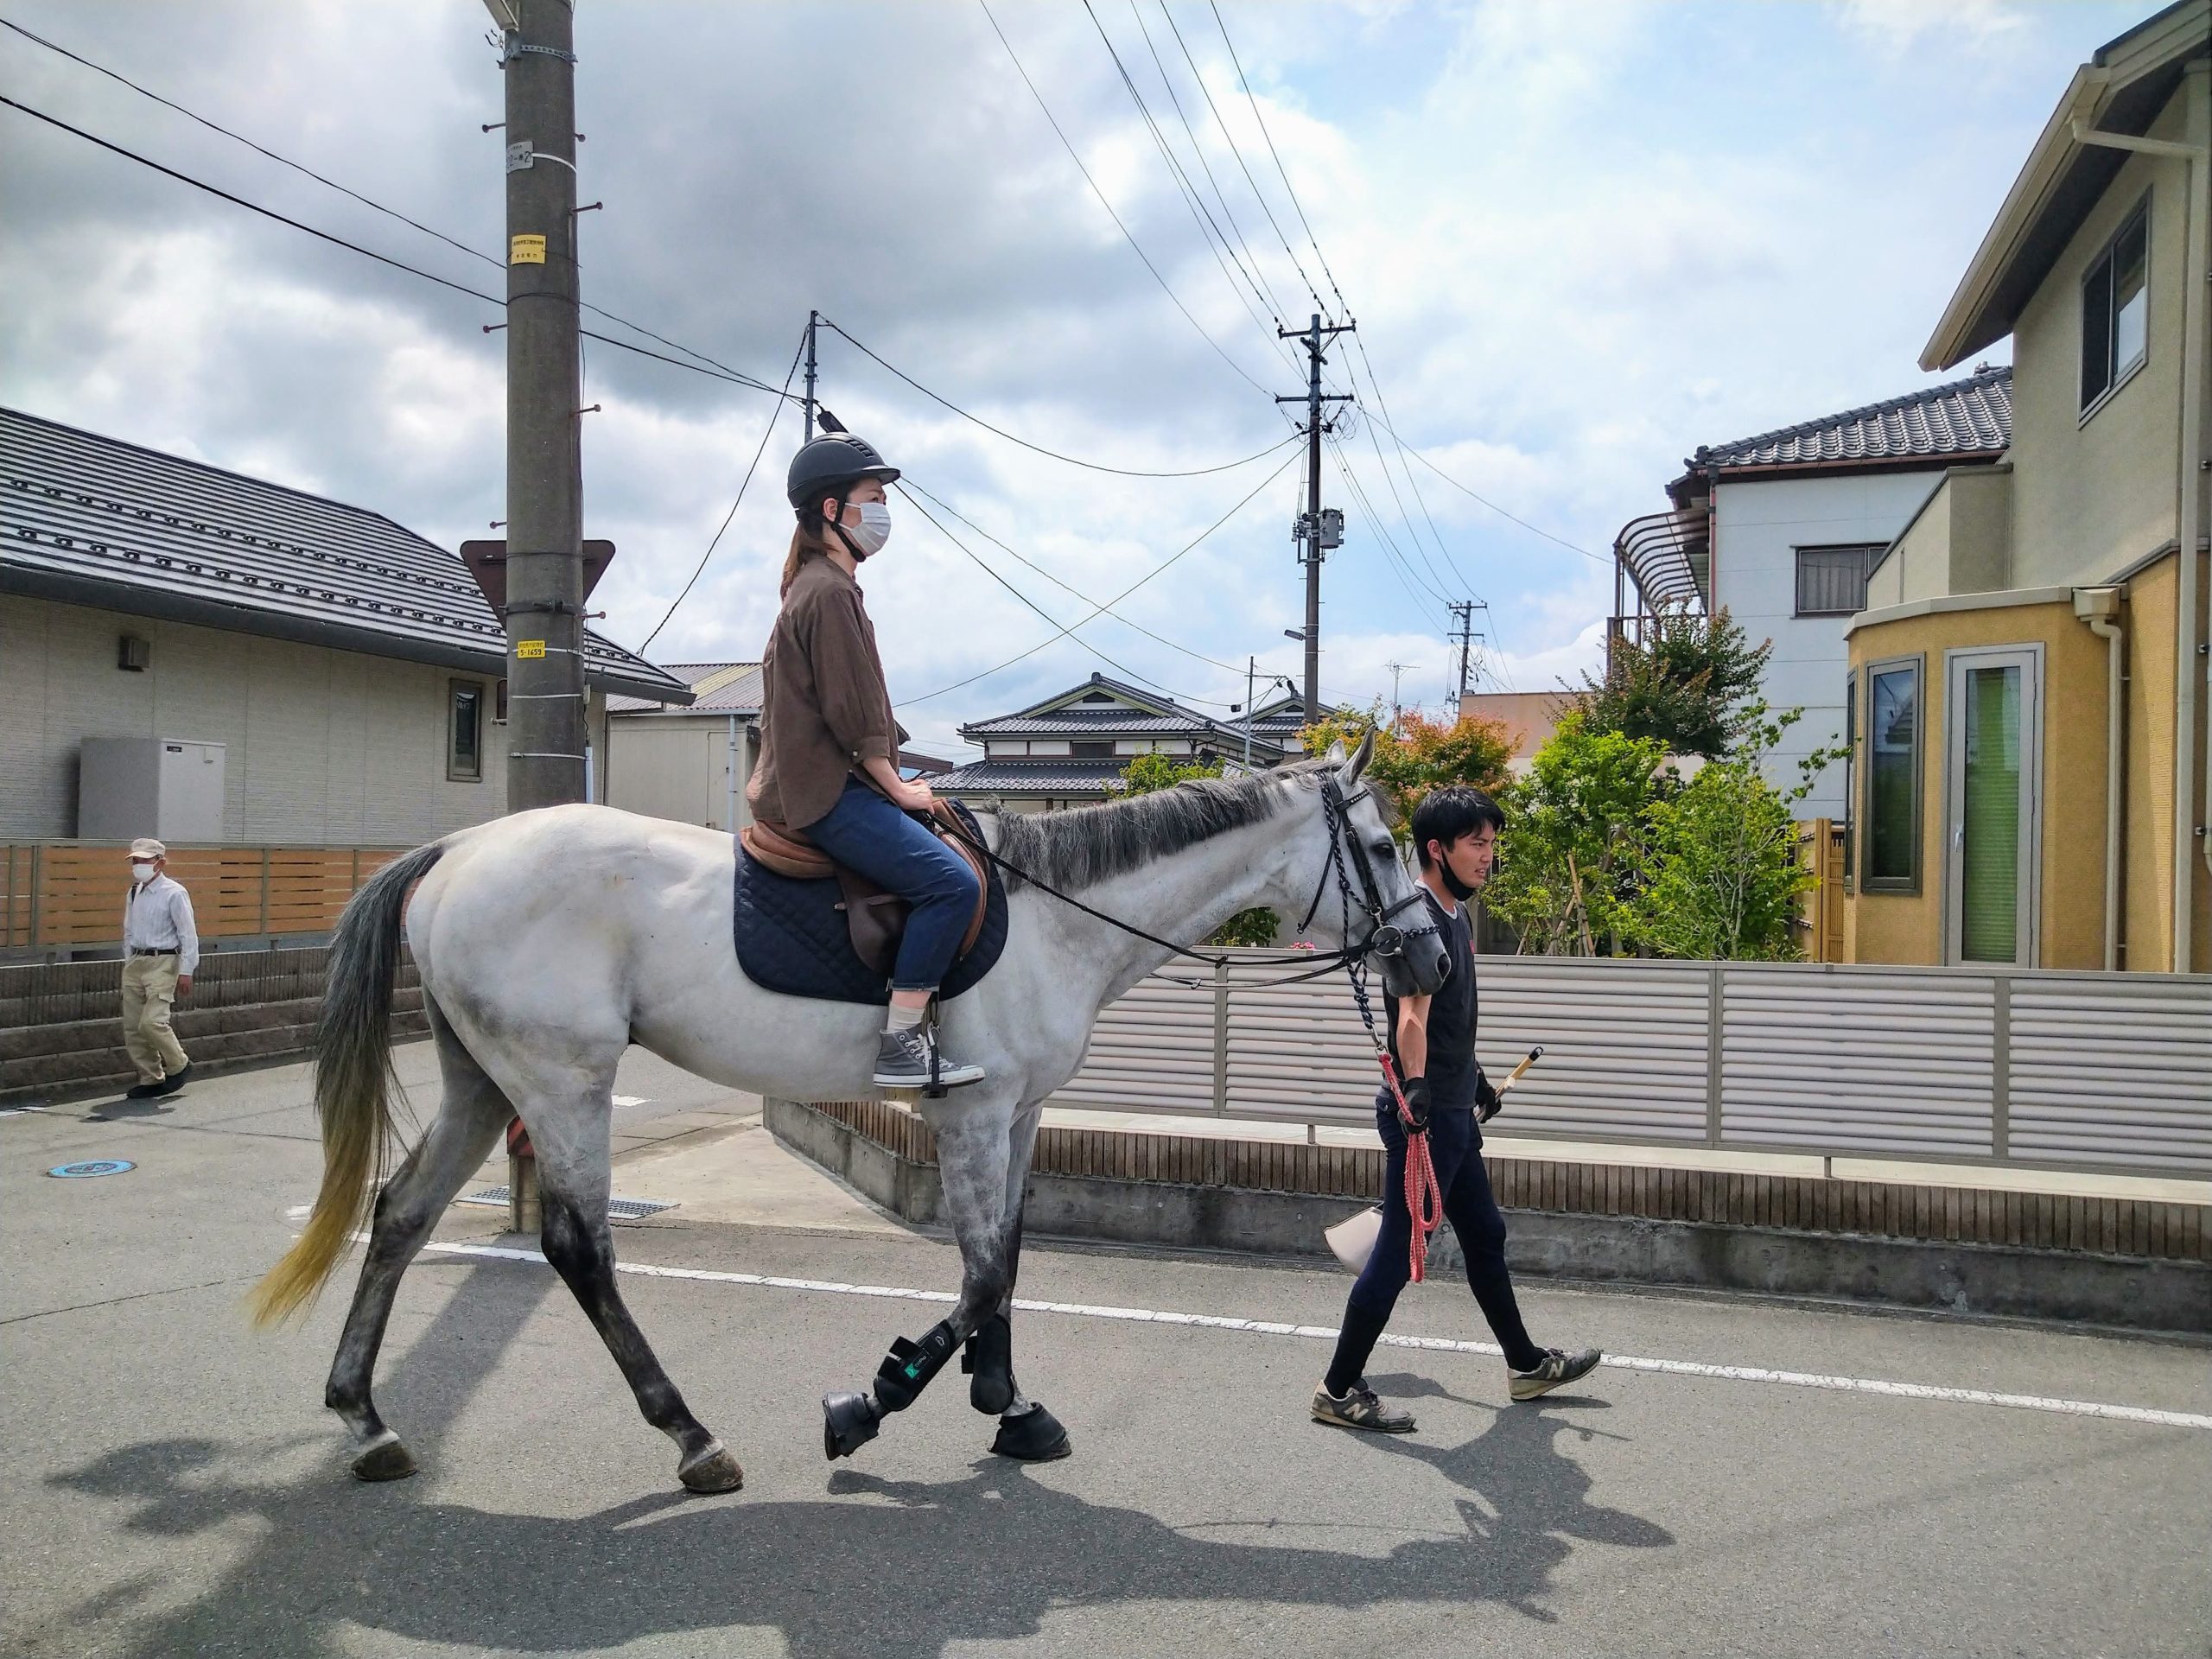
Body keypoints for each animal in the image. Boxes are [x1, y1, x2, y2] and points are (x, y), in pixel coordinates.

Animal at [254, 739, 1451, 1495]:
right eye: (1380, 850)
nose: (1434, 957)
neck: (1057, 920)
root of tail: (459, 851)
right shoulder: (972, 1116)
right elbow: (978, 1273)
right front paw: (876, 1400)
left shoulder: (1018, 1116)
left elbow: (1007, 1257)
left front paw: (1008, 1405)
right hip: (559, 1081)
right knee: (576, 1248)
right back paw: (690, 1436)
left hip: (483, 1079)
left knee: (401, 1217)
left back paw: (365, 1417)